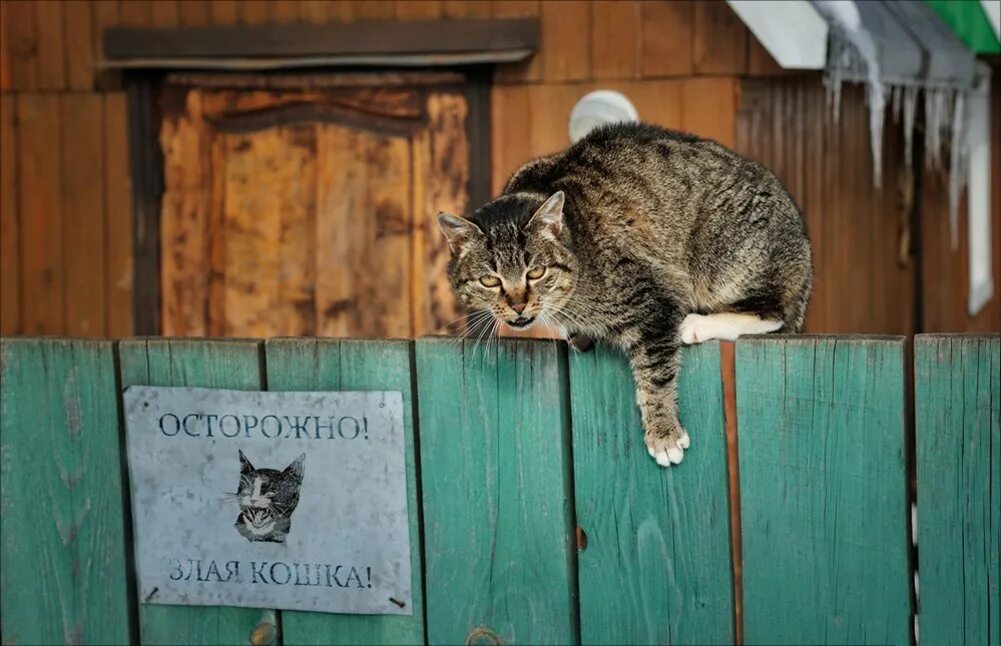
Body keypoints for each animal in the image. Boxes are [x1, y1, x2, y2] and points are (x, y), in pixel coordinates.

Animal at [438, 122, 812, 462]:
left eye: (536, 273)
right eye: (490, 281)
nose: (517, 305)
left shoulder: (655, 298)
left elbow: (655, 373)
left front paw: (663, 433)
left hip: (720, 257)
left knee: (774, 313)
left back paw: (700, 324)